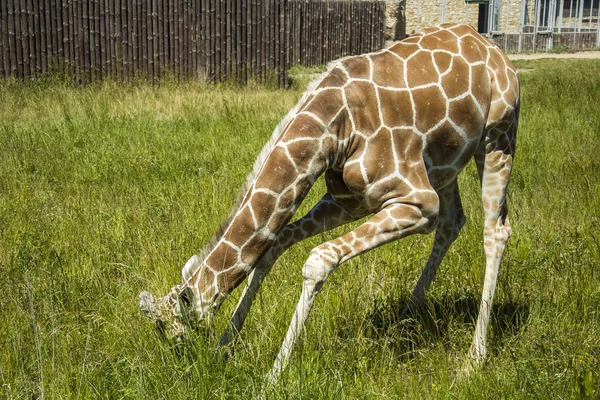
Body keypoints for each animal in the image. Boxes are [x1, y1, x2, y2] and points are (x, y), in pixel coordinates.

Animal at [138, 24, 516, 382]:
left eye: (173, 334)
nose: (184, 368)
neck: (333, 128)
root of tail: (491, 46)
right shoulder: (349, 200)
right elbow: (275, 243)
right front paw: (223, 347)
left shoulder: (418, 203)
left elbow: (319, 259)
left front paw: (272, 377)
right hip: (445, 163)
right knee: (453, 222)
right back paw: (404, 320)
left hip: (498, 137)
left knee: (495, 231)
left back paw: (473, 360)